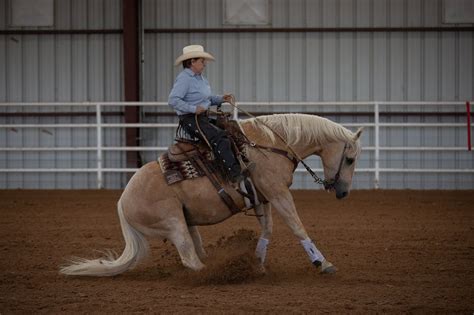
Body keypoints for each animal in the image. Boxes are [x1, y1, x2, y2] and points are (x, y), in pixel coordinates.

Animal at [59, 113, 362, 276]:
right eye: (349, 159)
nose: (343, 192)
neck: (270, 145)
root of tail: (122, 202)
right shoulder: (278, 194)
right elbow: (297, 227)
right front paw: (323, 263)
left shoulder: (263, 198)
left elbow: (267, 231)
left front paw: (258, 264)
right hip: (173, 223)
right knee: (190, 259)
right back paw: (217, 273)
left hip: (186, 222)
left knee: (195, 252)